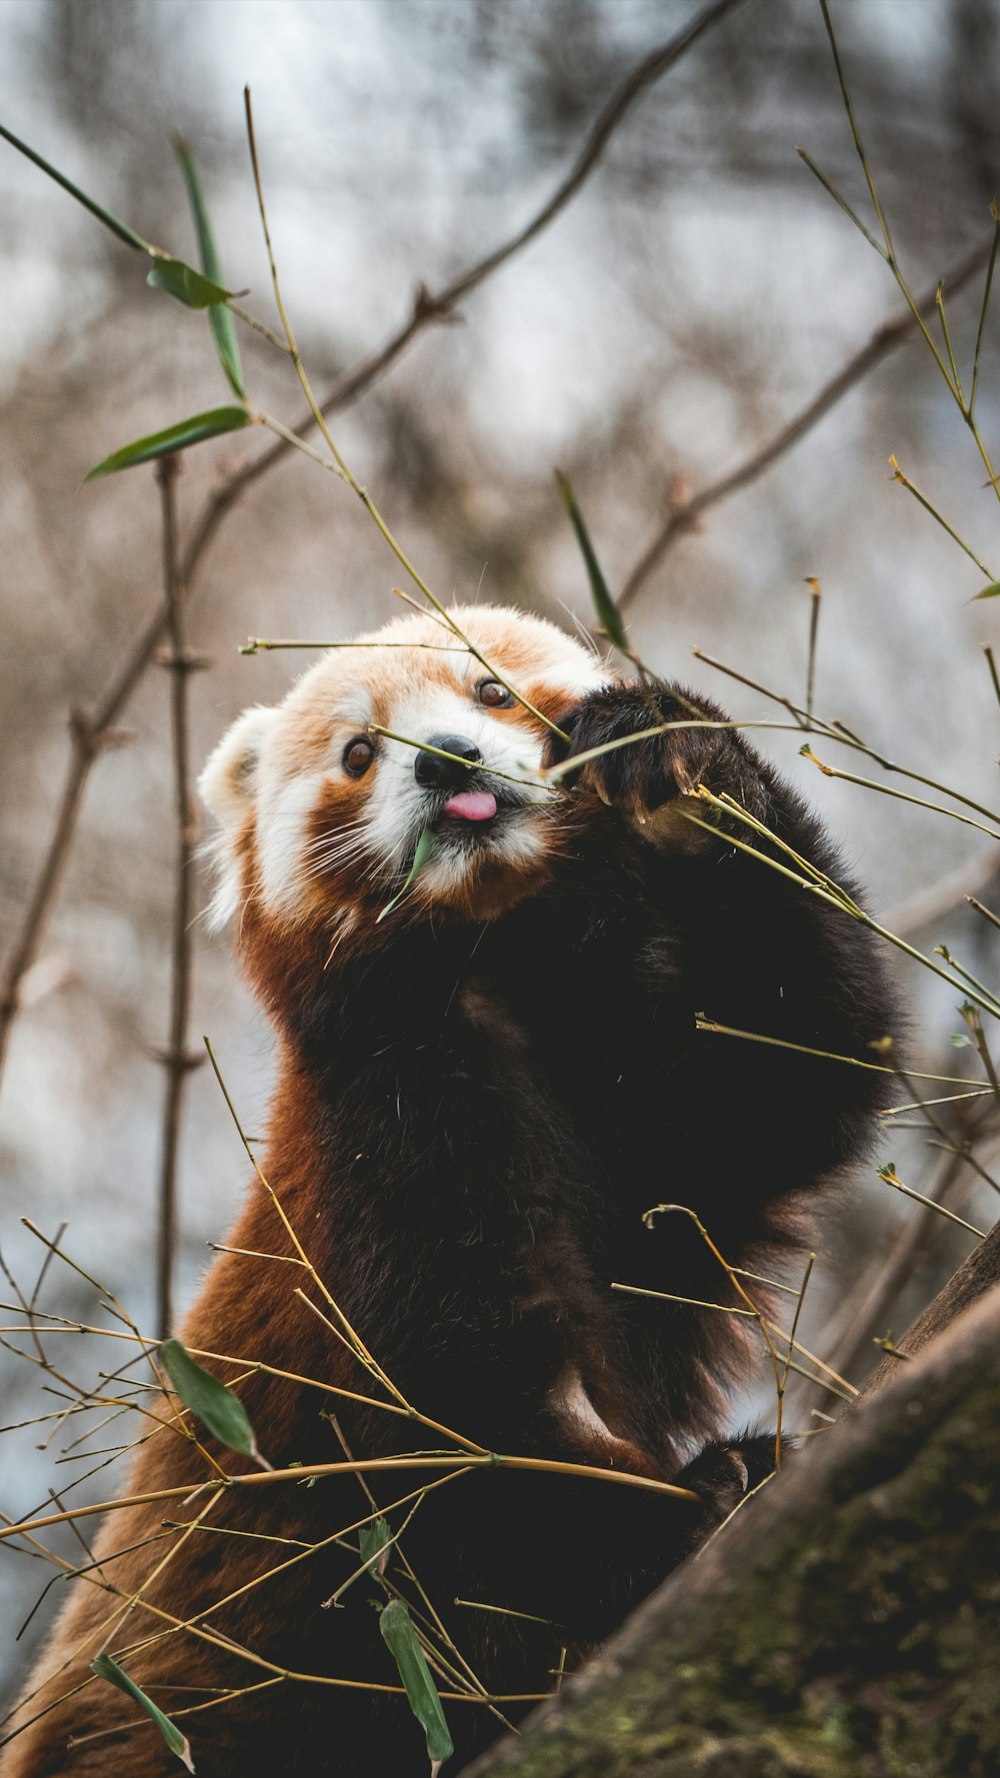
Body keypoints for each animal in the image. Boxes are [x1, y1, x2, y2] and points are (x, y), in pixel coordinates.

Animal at [1, 604, 886, 1770]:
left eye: (490, 691)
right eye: (359, 753)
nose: (445, 761)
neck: (495, 965)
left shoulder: (638, 1120)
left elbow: (801, 1068)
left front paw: (676, 764)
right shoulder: (388, 1154)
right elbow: (463, 1435)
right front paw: (685, 1502)